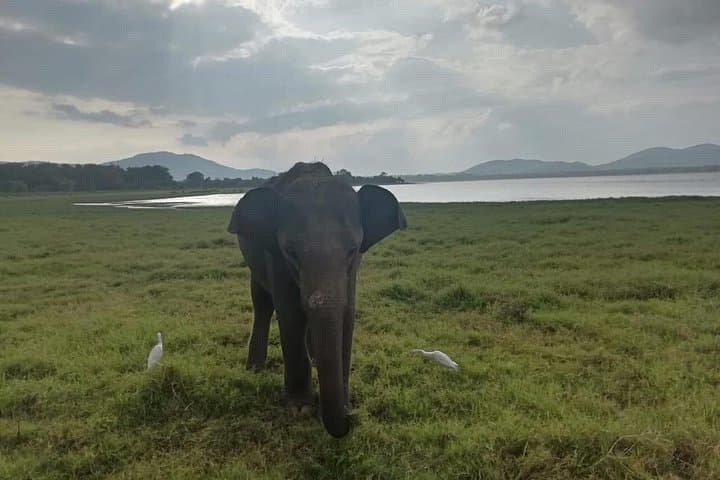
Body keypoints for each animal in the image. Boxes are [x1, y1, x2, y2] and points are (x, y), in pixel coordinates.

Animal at [227, 162, 407, 437]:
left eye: (352, 250)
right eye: (291, 252)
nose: (350, 420)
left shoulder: (352, 270)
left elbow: (347, 312)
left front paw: (343, 405)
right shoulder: (276, 259)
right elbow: (290, 313)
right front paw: (300, 408)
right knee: (262, 303)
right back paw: (255, 369)